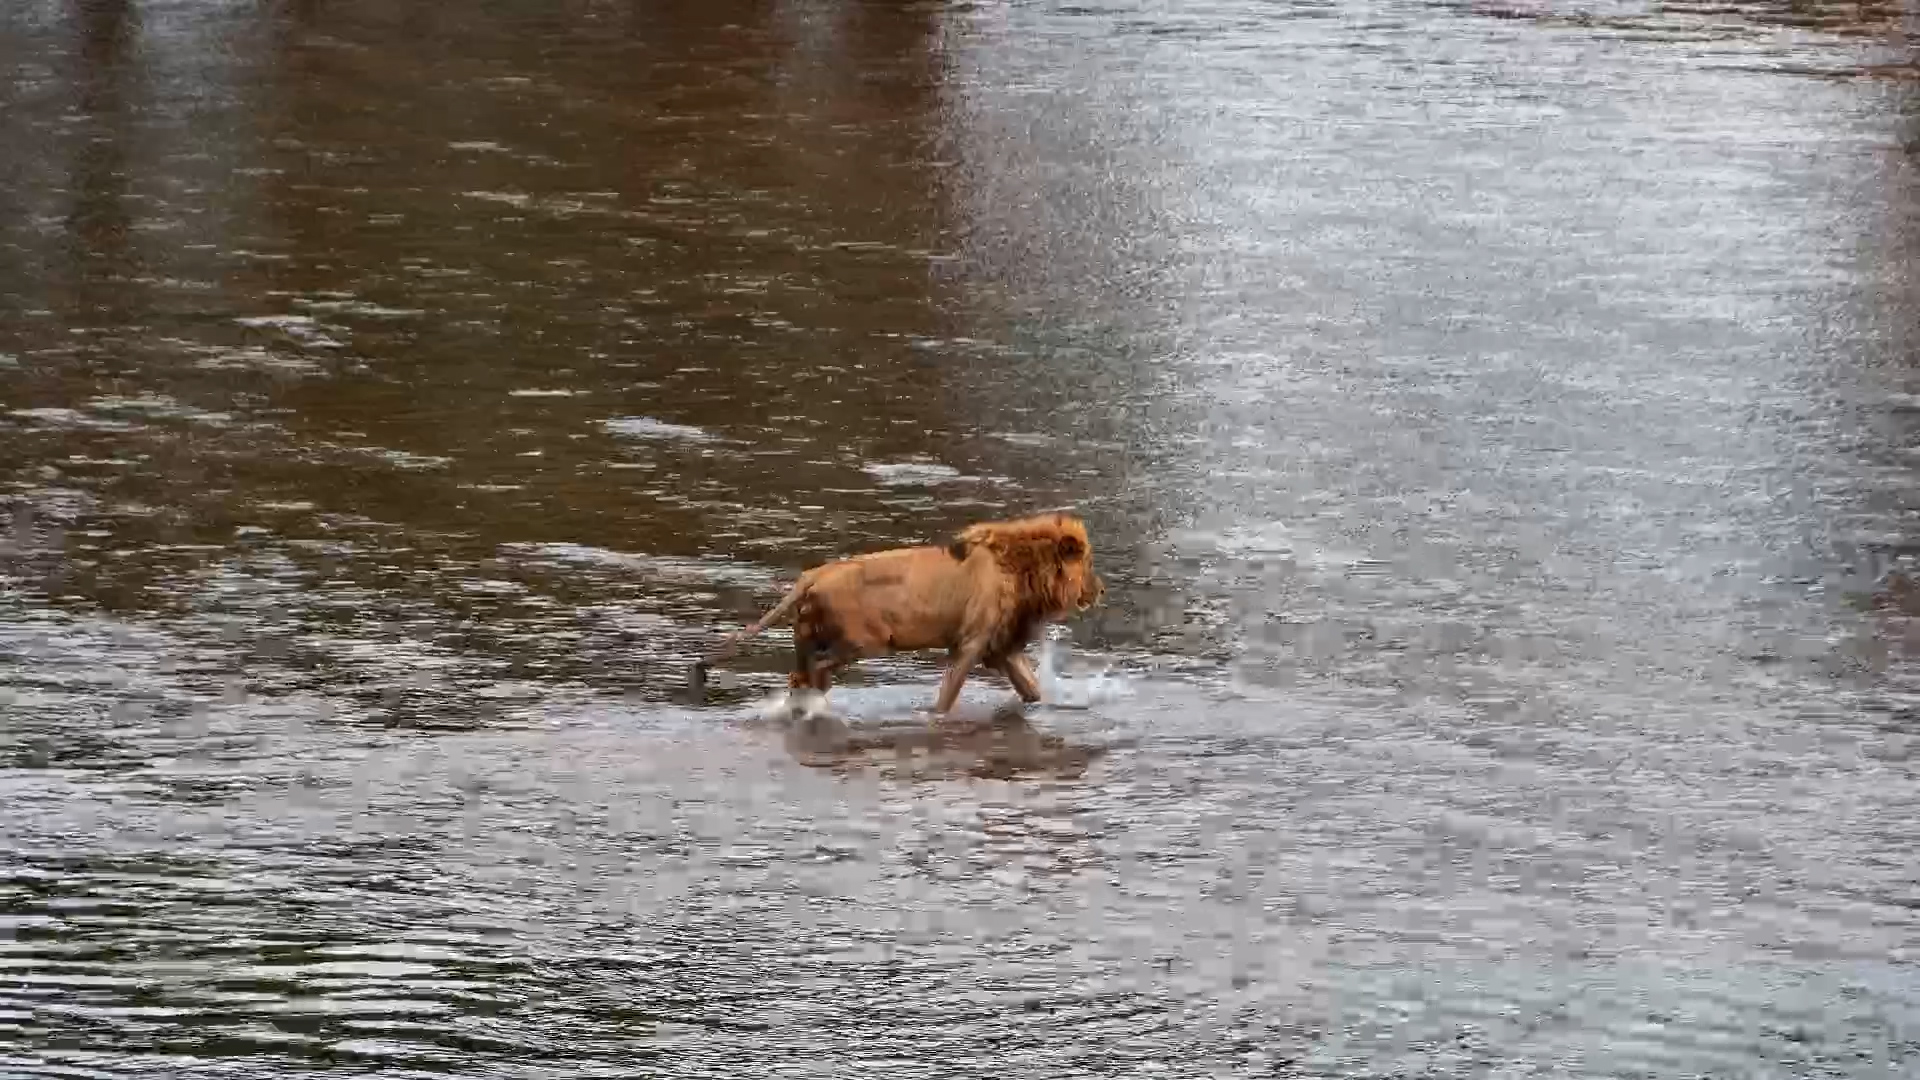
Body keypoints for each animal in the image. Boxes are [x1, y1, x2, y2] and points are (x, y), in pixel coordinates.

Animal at [689, 511, 1106, 716]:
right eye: (1087, 563)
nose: (1100, 590)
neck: (1023, 571)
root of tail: (812, 576)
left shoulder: (1001, 647)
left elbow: (1032, 689)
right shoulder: (971, 644)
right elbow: (948, 695)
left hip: (809, 636)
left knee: (799, 676)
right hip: (864, 641)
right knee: (815, 672)